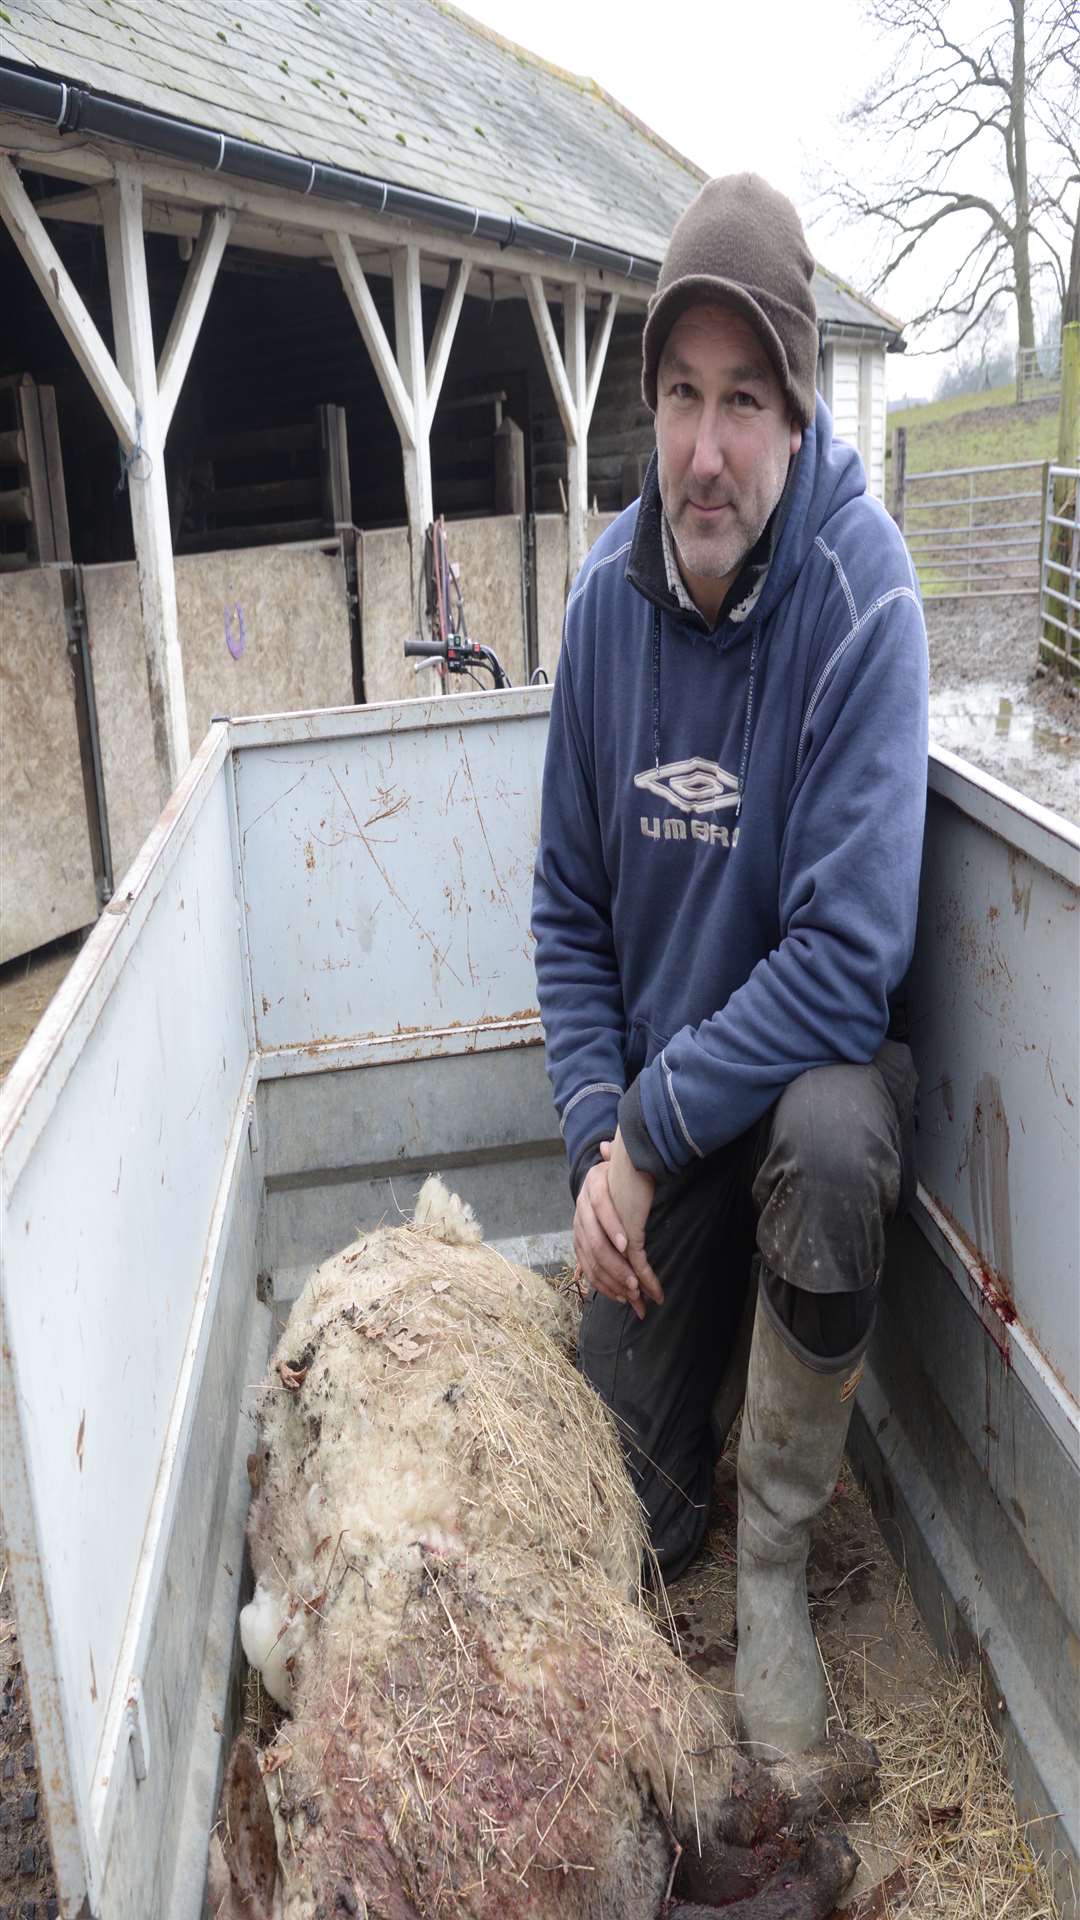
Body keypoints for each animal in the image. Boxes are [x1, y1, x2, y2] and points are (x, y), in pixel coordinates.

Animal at [205, 1175, 868, 1912]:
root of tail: (401, 1228)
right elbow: (742, 1859)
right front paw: (825, 1853)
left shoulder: (632, 1686)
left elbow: (757, 1803)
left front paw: (849, 1778)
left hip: (541, 1310)